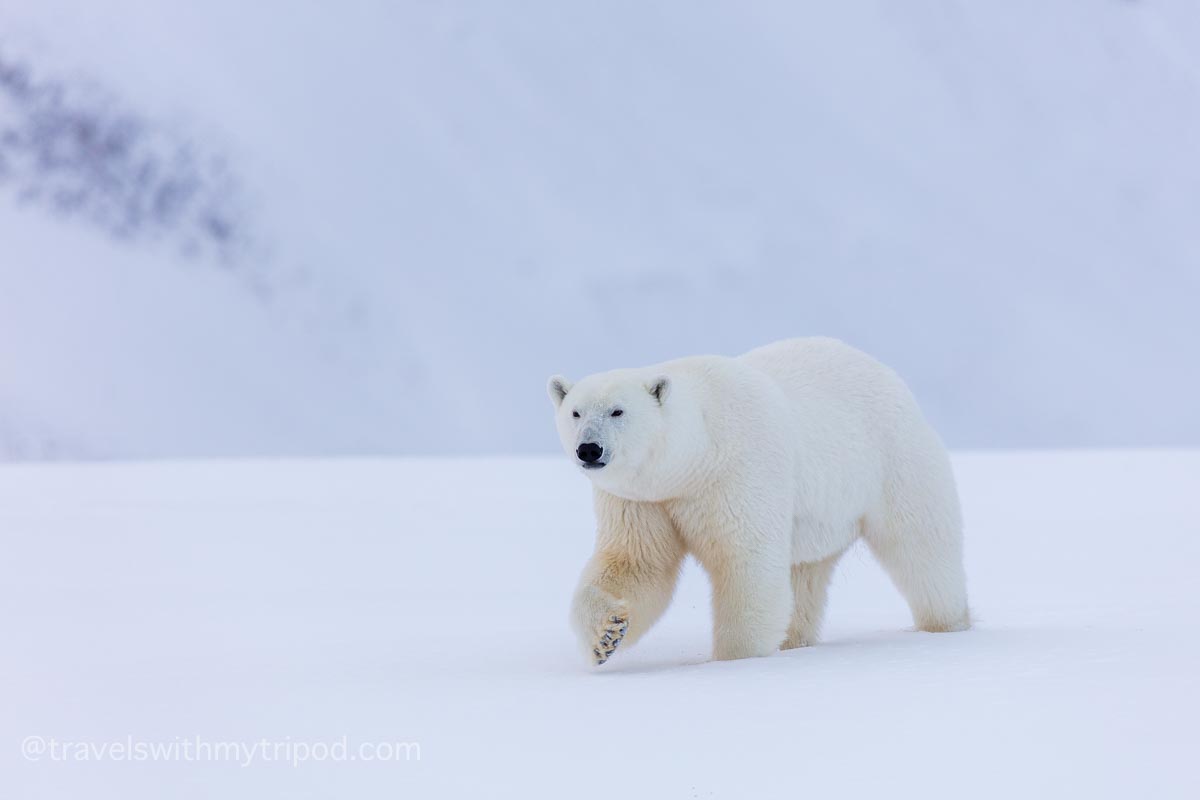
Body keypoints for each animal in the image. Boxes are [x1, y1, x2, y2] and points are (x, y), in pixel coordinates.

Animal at [549, 335, 969, 662]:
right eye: (575, 412)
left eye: (617, 411)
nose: (589, 449)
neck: (694, 457)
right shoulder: (642, 500)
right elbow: (635, 564)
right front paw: (606, 635)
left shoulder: (736, 474)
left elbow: (746, 563)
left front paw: (738, 658)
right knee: (805, 573)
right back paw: (794, 640)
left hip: (893, 460)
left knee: (921, 548)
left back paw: (948, 622)